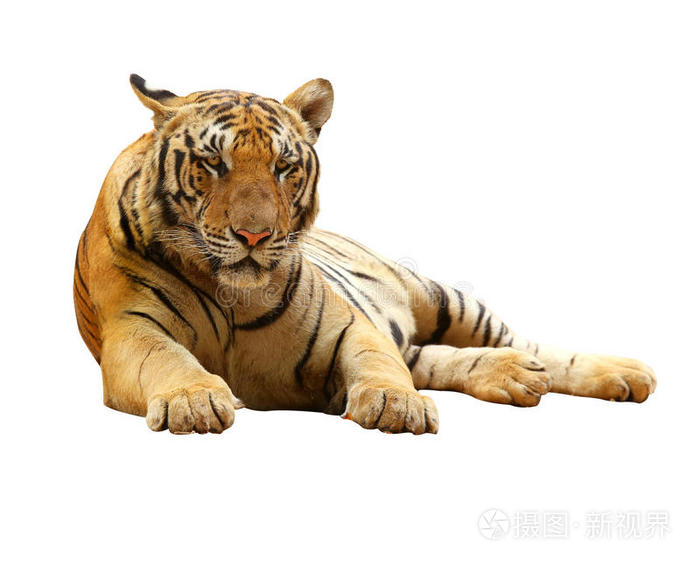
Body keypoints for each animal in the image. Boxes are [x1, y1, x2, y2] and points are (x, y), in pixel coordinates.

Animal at [73, 74, 657, 435]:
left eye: (284, 167)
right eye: (213, 163)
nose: (254, 237)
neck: (232, 295)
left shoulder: (350, 327)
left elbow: (381, 364)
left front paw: (398, 405)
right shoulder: (133, 329)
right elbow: (168, 360)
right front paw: (193, 401)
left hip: (444, 299)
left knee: (530, 345)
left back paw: (625, 374)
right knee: (441, 357)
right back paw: (515, 376)